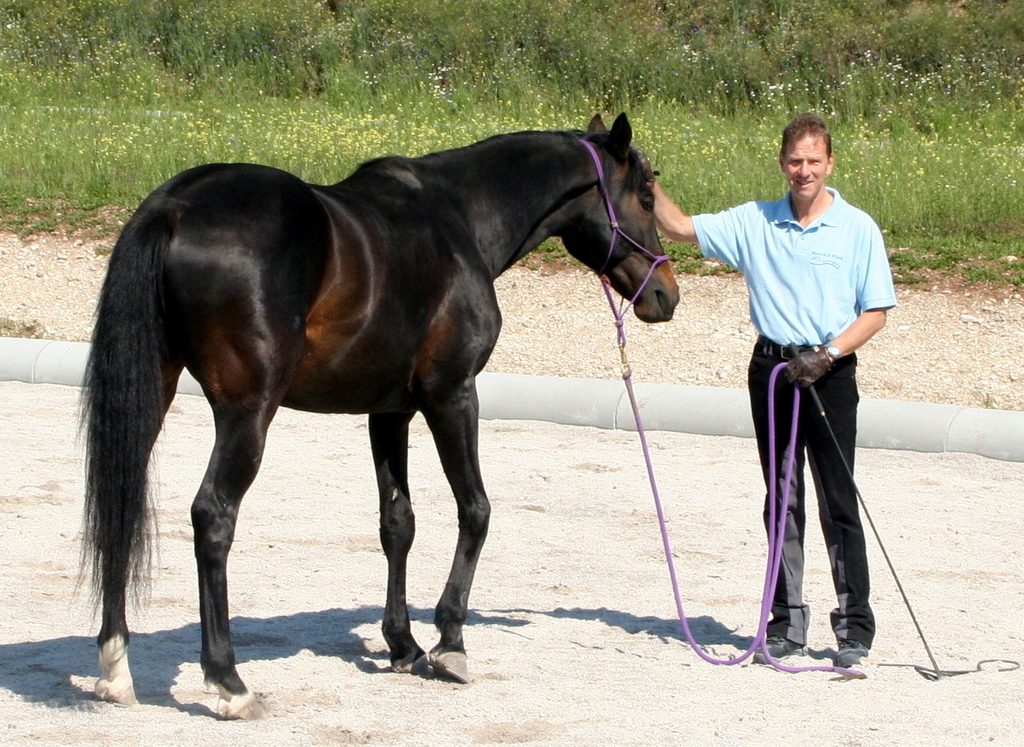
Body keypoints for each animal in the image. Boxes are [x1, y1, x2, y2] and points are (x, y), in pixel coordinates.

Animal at [81, 112, 679, 717]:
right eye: (646, 197)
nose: (666, 294)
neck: (459, 216)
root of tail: (174, 206)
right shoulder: (452, 394)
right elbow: (476, 509)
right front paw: (450, 641)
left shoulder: (390, 411)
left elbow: (398, 523)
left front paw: (403, 644)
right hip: (248, 414)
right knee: (213, 516)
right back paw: (229, 681)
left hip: (151, 395)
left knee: (122, 498)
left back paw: (115, 667)